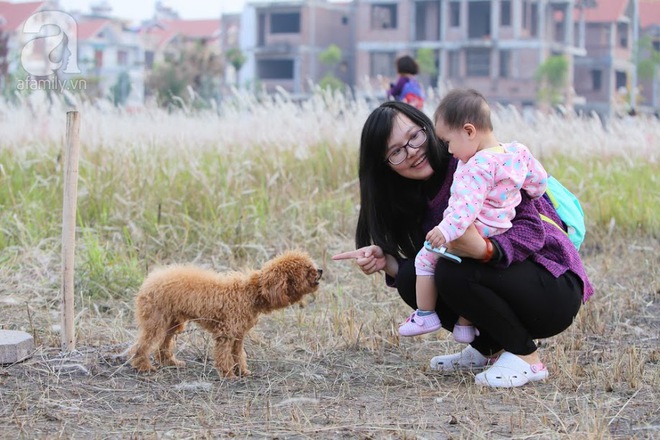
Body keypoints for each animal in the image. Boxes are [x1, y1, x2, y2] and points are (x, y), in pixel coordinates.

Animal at [127, 251, 322, 378]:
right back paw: (143, 366)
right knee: (142, 345)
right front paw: (228, 374)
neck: (252, 292)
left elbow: (238, 354)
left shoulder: (238, 334)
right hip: (156, 321)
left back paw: (170, 362)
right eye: (307, 270)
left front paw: (242, 371)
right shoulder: (226, 333)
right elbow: (223, 355)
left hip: (173, 322)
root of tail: (149, 281)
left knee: (163, 345)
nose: (320, 270)